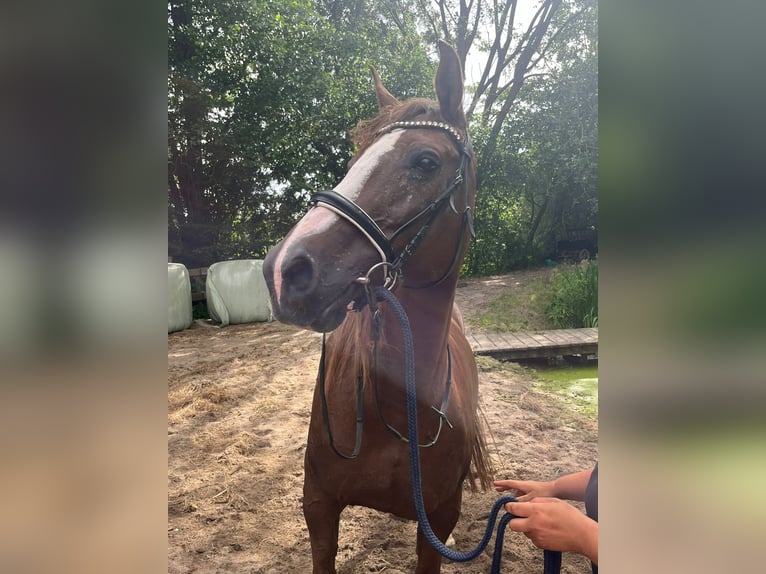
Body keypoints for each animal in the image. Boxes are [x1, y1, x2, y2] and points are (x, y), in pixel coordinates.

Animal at [262, 42, 492, 572]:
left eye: (426, 160)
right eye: (354, 159)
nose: (286, 269)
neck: (397, 404)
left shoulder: (438, 524)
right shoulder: (319, 506)